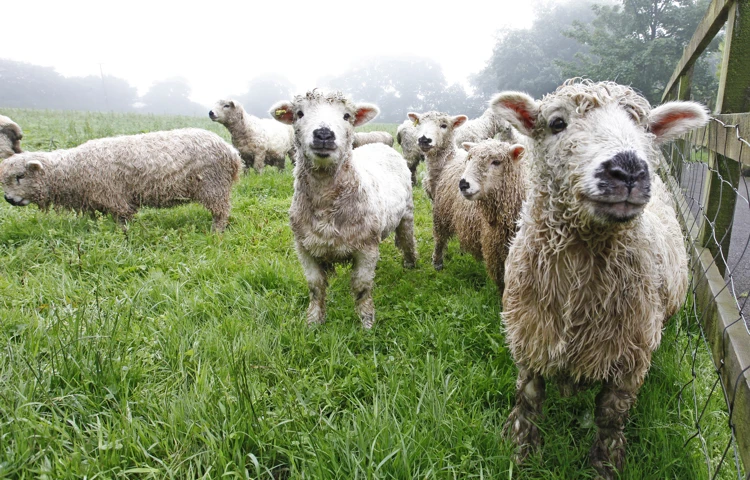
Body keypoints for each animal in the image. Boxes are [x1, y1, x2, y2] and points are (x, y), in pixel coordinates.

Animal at [0, 128, 242, 232]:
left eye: (20, 177)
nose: (8, 199)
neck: (72, 169)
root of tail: (232, 153)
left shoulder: (114, 197)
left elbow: (123, 221)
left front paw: (122, 236)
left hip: (213, 186)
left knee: (221, 213)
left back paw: (216, 232)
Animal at [270, 90, 416, 329]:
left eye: (347, 116)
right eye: (299, 113)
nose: (323, 134)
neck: (325, 201)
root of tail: (380, 145)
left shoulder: (366, 248)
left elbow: (361, 287)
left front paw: (366, 323)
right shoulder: (304, 248)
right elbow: (315, 287)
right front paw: (313, 322)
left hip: (408, 213)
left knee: (407, 239)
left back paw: (411, 263)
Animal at [492, 79, 708, 479]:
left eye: (645, 127)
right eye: (557, 123)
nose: (629, 169)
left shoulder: (630, 357)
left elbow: (611, 417)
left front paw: (605, 465)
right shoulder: (529, 337)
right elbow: (528, 399)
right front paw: (521, 451)